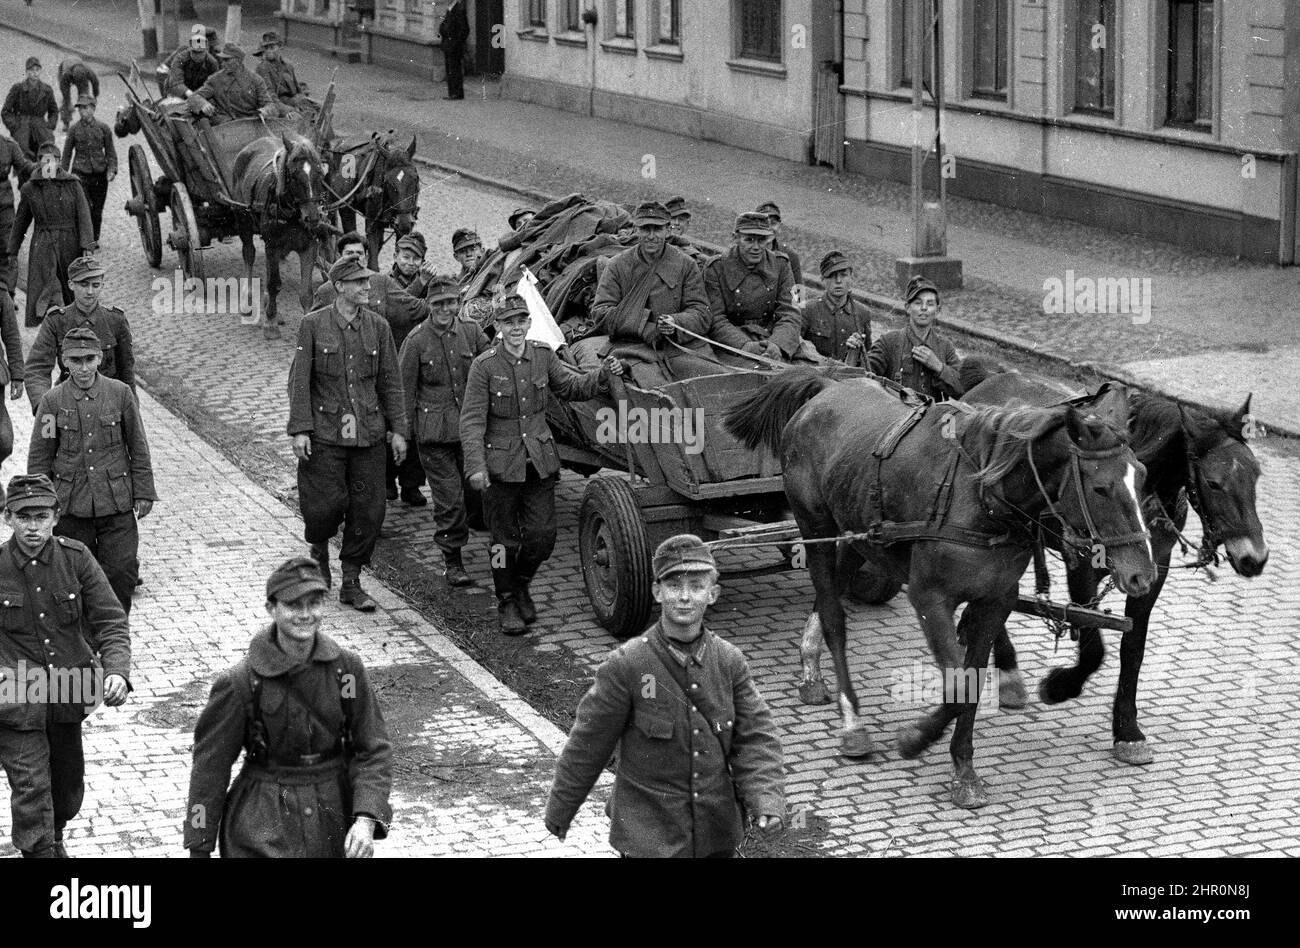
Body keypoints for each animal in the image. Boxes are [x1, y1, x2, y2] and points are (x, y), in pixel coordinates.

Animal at [230, 129, 327, 335]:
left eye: (320, 173)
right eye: (294, 175)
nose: (313, 217)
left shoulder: (309, 247)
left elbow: (306, 291)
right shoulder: (272, 245)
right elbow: (274, 283)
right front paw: (270, 322)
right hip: (243, 220)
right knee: (249, 253)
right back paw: (249, 300)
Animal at [325, 131, 421, 270]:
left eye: (415, 178)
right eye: (387, 181)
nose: (404, 222)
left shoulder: (401, 229)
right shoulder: (372, 225)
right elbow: (373, 265)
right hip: (343, 204)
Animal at [722, 366, 1159, 806]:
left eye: (1142, 477)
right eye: (1100, 488)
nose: (1143, 573)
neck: (982, 497)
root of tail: (827, 386)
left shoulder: (994, 602)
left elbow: (972, 679)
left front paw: (963, 768)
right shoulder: (929, 599)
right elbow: (961, 684)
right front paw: (916, 738)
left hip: (857, 535)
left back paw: (811, 667)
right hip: (816, 530)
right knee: (833, 618)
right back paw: (852, 723)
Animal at [961, 358, 1263, 764]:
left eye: (1256, 475)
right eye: (1214, 482)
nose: (1255, 558)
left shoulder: (1153, 569)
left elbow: (1131, 648)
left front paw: (1127, 729)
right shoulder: (1081, 561)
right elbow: (1091, 639)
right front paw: (1061, 685)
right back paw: (1007, 668)